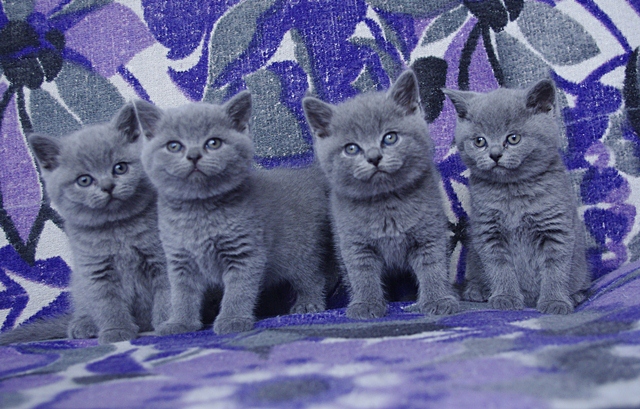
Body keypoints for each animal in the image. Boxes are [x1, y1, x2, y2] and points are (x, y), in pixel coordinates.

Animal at [0, 102, 171, 345]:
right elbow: (107, 304)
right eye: (84, 180)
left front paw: (168, 323)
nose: (108, 186)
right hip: (79, 281)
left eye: (120, 168)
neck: (117, 228)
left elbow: (168, 293)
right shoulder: (95, 270)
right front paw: (115, 331)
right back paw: (83, 325)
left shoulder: (160, 257)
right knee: (84, 306)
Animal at [134, 91, 336, 336]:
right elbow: (181, 295)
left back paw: (308, 303)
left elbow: (238, 291)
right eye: (173, 146)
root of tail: (309, 174)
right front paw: (180, 322)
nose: (193, 155)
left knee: (312, 276)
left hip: (300, 249)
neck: (199, 212)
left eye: (213, 143)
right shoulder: (180, 260)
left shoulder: (244, 252)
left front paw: (233, 319)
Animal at [303, 69, 459, 319]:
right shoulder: (354, 242)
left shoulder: (430, 233)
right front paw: (366, 304)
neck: (386, 202)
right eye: (352, 148)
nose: (374, 157)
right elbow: (362, 274)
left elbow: (433, 266)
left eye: (390, 137)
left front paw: (438, 299)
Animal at [443, 79, 590, 314]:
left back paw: (575, 296)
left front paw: (555, 301)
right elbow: (499, 267)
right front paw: (506, 297)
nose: (495, 155)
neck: (512, 192)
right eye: (479, 141)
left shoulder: (555, 229)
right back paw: (476, 291)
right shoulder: (489, 231)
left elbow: (555, 269)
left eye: (513, 138)